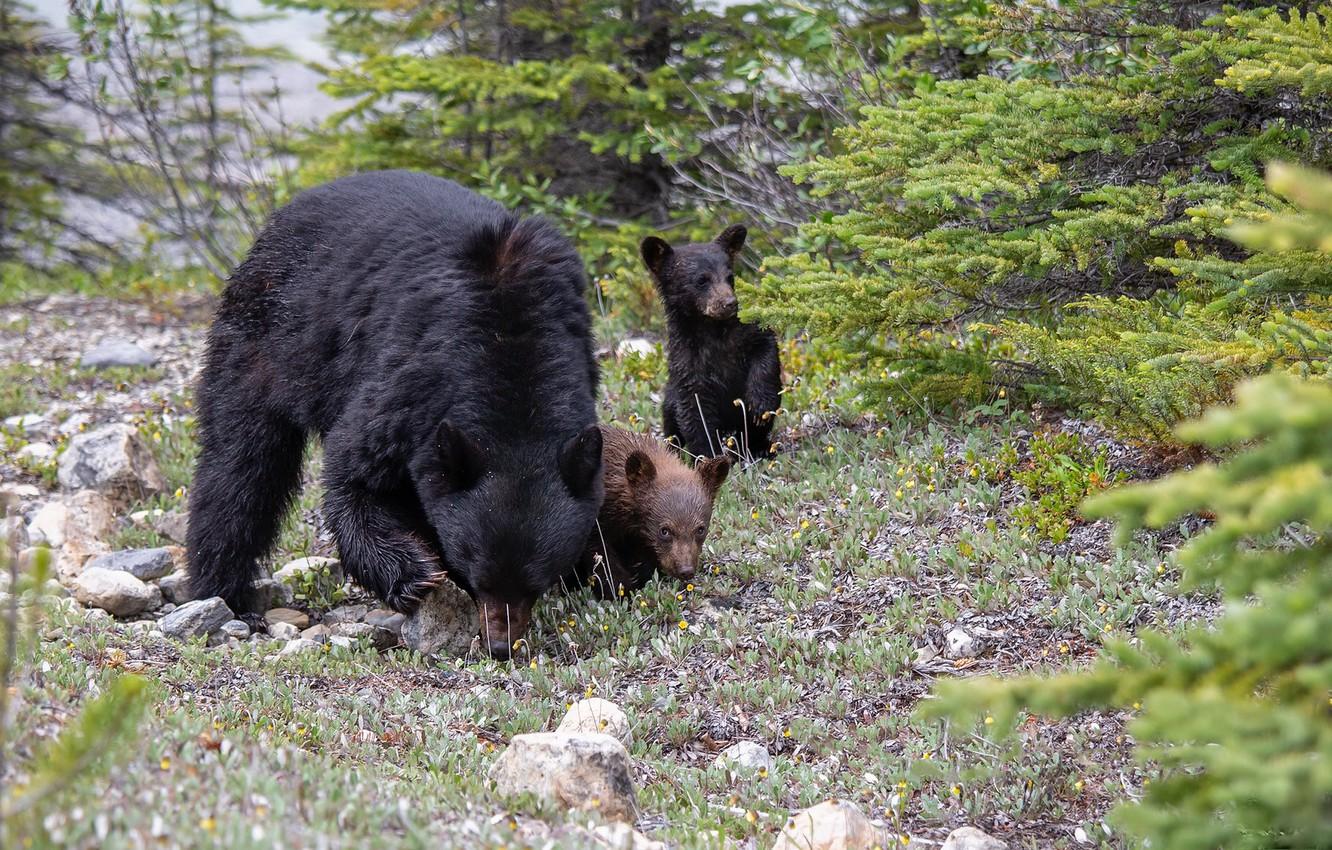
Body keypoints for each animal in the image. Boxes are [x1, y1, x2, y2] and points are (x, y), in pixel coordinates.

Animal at [187, 167, 604, 660]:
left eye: (534, 584)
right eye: (481, 576)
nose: (501, 645)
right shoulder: (409, 381)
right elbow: (354, 477)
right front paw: (415, 574)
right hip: (269, 337)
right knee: (240, 465)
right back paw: (224, 594)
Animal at [642, 226, 777, 463]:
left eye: (730, 277)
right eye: (701, 280)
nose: (729, 303)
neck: (711, 329)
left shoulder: (745, 332)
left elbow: (765, 347)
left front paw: (761, 404)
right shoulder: (687, 361)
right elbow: (695, 411)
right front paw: (708, 457)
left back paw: (759, 448)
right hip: (669, 400)